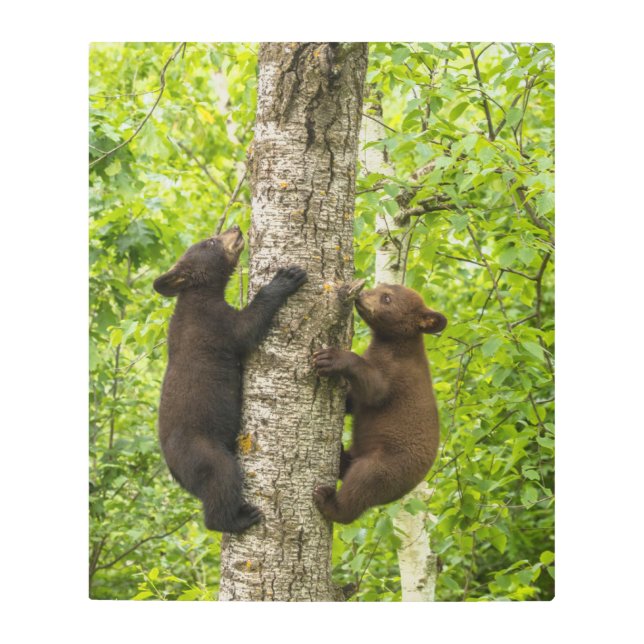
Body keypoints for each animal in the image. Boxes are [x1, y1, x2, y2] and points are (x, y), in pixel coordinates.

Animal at [153, 225, 307, 533]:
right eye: (211, 242)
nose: (235, 228)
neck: (197, 296)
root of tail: (174, 472)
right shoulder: (214, 323)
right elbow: (246, 328)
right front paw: (285, 278)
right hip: (203, 452)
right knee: (221, 479)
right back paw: (239, 518)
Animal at [312, 283, 447, 524]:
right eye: (380, 287)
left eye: (386, 298)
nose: (362, 294)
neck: (394, 345)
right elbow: (354, 400)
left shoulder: (398, 374)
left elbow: (374, 390)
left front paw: (332, 358)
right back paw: (342, 456)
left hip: (388, 465)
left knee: (362, 484)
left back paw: (329, 502)